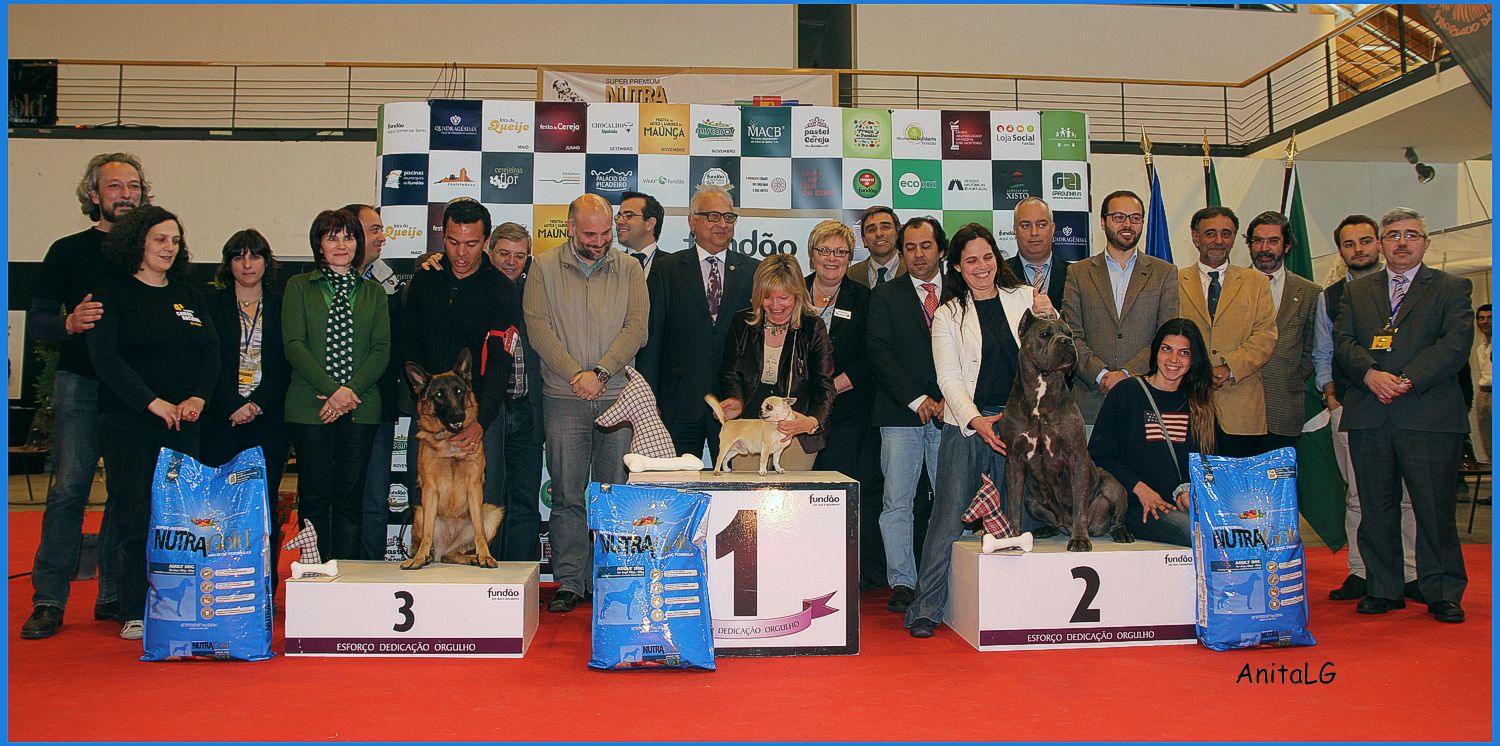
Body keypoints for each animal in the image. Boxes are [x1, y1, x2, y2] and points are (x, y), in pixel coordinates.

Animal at [403, 348, 503, 570]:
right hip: (420, 512)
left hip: (492, 512)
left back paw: (472, 557)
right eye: (439, 395)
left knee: (454, 552)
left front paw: (485, 556)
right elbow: (427, 534)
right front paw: (418, 559)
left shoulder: (474, 487)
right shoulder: (430, 489)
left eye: (459, 391)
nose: (458, 416)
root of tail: (445, 546)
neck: (450, 444)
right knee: (431, 543)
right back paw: (425, 556)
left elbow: (479, 531)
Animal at [997, 310, 1132, 552]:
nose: (1067, 342)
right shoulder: (1013, 460)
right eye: (1044, 334)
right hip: (1032, 500)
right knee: (1047, 517)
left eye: (1069, 334)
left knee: (1116, 517)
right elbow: (1013, 505)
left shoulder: (1076, 457)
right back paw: (1043, 530)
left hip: (1114, 487)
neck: (1041, 393)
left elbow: (1079, 503)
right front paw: (1012, 537)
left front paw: (1079, 539)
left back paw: (1121, 533)